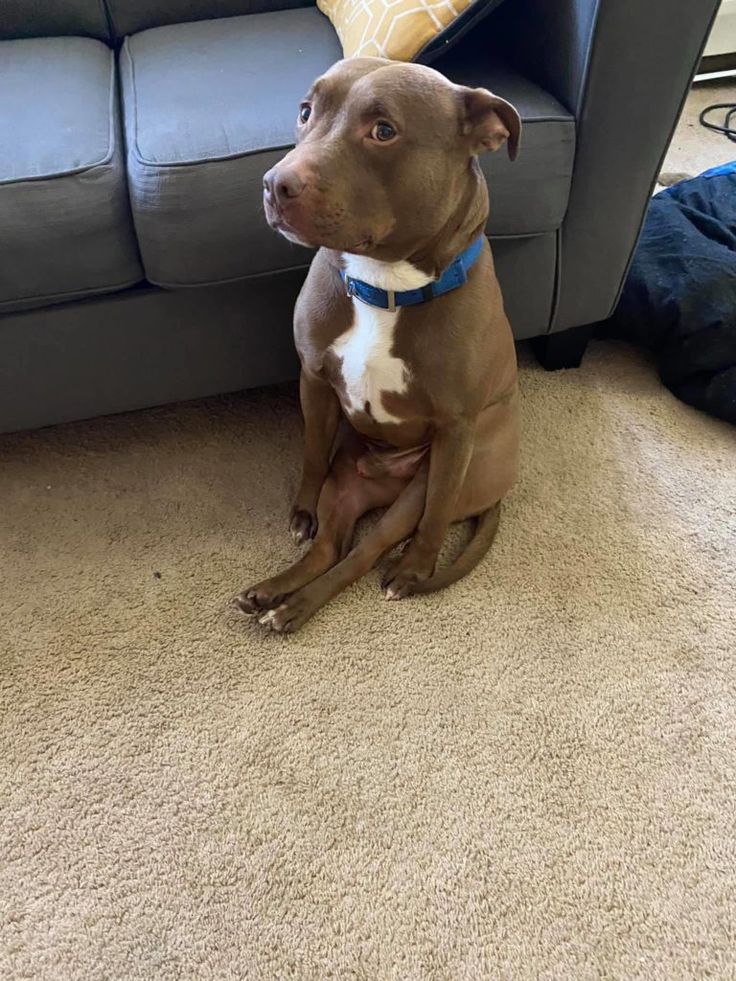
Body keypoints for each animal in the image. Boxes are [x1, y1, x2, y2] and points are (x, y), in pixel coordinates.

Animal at [234, 57, 516, 632]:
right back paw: (272, 592)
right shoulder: (314, 381)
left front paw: (417, 567)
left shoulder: (455, 431)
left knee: (365, 554)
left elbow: (433, 518)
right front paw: (300, 511)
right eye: (306, 112)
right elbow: (311, 454)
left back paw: (308, 602)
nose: (274, 184)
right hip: (346, 485)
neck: (383, 284)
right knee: (330, 548)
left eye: (384, 131)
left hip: (424, 483)